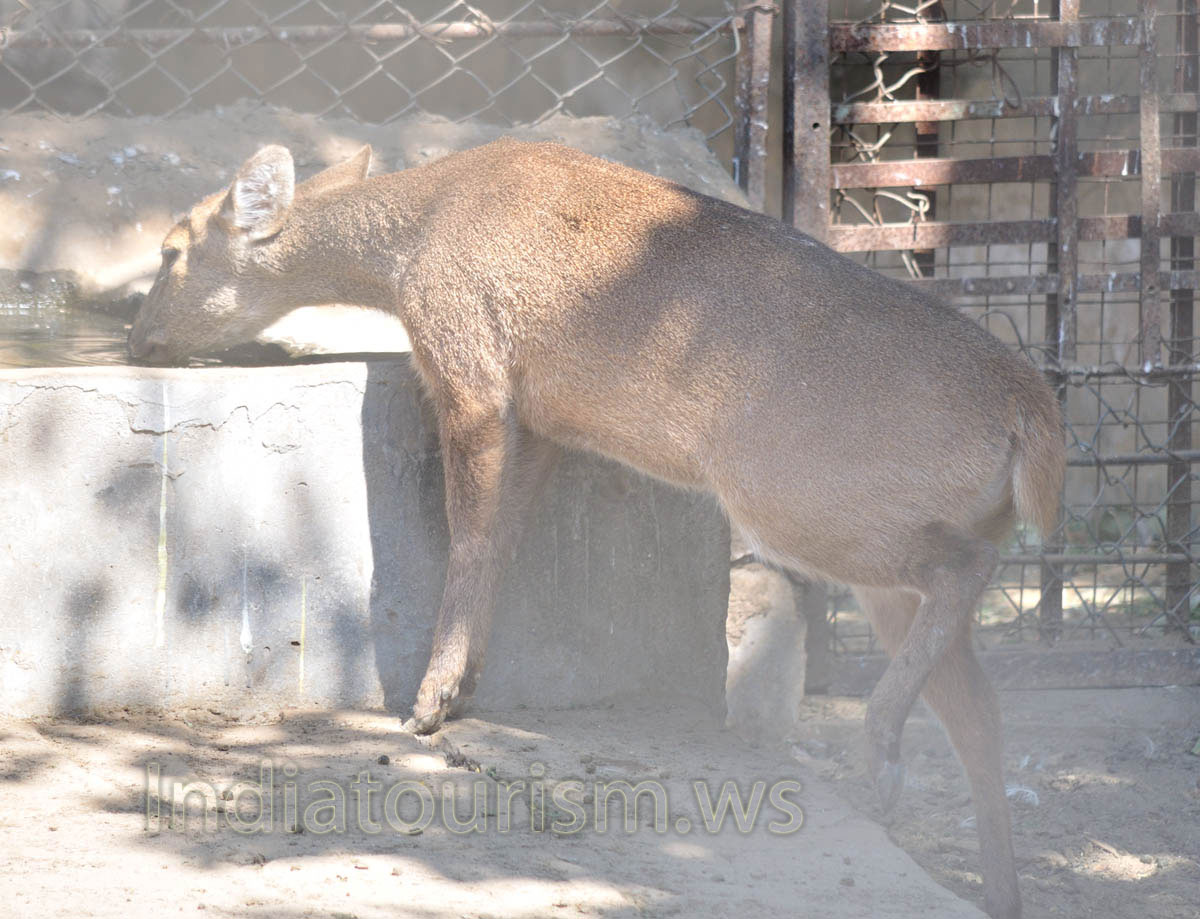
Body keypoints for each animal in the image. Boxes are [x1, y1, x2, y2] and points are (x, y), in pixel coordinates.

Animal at [129, 140, 1064, 919]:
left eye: (171, 250)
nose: (138, 336)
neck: (413, 245)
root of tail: (1031, 413)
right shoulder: (547, 416)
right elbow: (505, 539)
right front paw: (463, 684)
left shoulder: (469, 362)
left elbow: (469, 538)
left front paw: (429, 701)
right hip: (869, 552)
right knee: (981, 709)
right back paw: (997, 886)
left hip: (796, 491)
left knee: (967, 568)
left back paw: (882, 747)